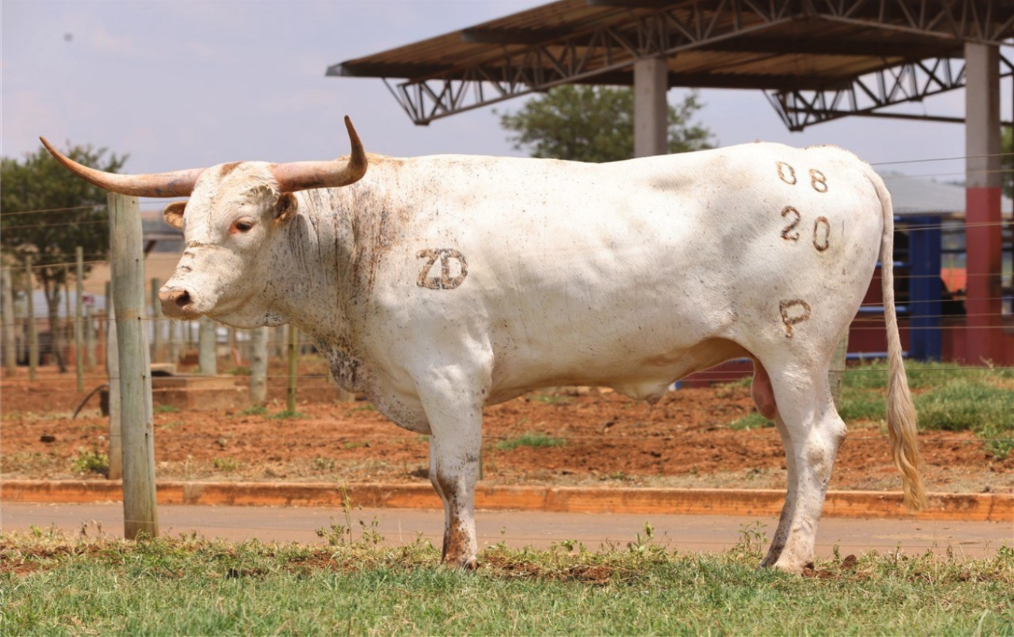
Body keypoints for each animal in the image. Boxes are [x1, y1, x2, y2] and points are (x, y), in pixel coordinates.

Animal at [43, 118, 924, 572]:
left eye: (243, 222)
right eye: (186, 221)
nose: (175, 295)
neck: (369, 235)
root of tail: (825, 160)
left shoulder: (450, 369)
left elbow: (453, 470)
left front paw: (462, 558)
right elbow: (440, 474)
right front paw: (445, 551)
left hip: (795, 345)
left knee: (817, 442)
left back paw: (791, 561)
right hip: (784, 361)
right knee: (794, 450)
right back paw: (774, 547)